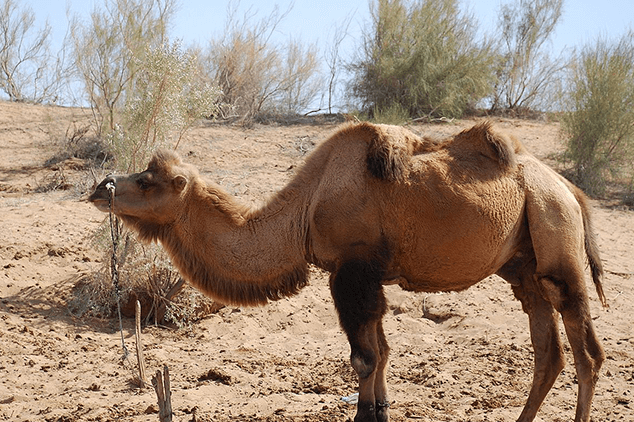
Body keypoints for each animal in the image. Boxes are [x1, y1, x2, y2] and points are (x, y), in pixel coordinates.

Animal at [86, 121, 604, 422]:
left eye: (147, 181)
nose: (100, 186)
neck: (306, 208)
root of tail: (571, 191)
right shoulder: (368, 277)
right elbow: (383, 350)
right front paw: (381, 408)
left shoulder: (351, 271)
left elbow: (364, 357)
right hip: (524, 267)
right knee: (548, 352)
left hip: (556, 239)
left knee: (587, 352)